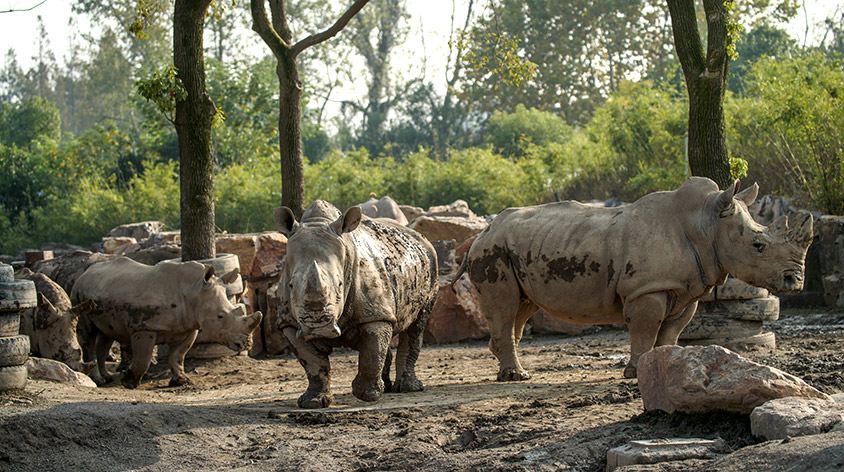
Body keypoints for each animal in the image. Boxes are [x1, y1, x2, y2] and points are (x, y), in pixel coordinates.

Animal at [72, 258, 260, 388]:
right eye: (220, 316)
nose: (245, 344)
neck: (194, 291)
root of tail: (85, 273)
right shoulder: (144, 327)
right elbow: (144, 358)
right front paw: (128, 382)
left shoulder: (189, 327)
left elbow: (178, 356)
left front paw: (182, 381)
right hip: (79, 295)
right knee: (88, 336)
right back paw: (99, 380)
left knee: (105, 335)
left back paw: (107, 377)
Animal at [276, 201, 438, 408]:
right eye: (290, 285)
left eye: (340, 284)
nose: (318, 327)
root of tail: (418, 235)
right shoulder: (289, 323)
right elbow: (313, 362)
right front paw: (313, 402)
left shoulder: (375, 314)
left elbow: (372, 352)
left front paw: (367, 395)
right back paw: (387, 386)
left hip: (431, 264)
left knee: (416, 325)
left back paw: (408, 388)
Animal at [458, 177, 816, 380]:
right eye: (758, 246)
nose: (795, 281)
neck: (706, 224)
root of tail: (481, 233)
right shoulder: (646, 290)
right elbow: (646, 330)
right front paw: (634, 373)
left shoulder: (686, 290)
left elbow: (670, 333)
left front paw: (662, 367)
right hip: (493, 251)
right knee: (505, 307)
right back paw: (516, 376)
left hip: (516, 248)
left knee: (521, 307)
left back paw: (510, 368)